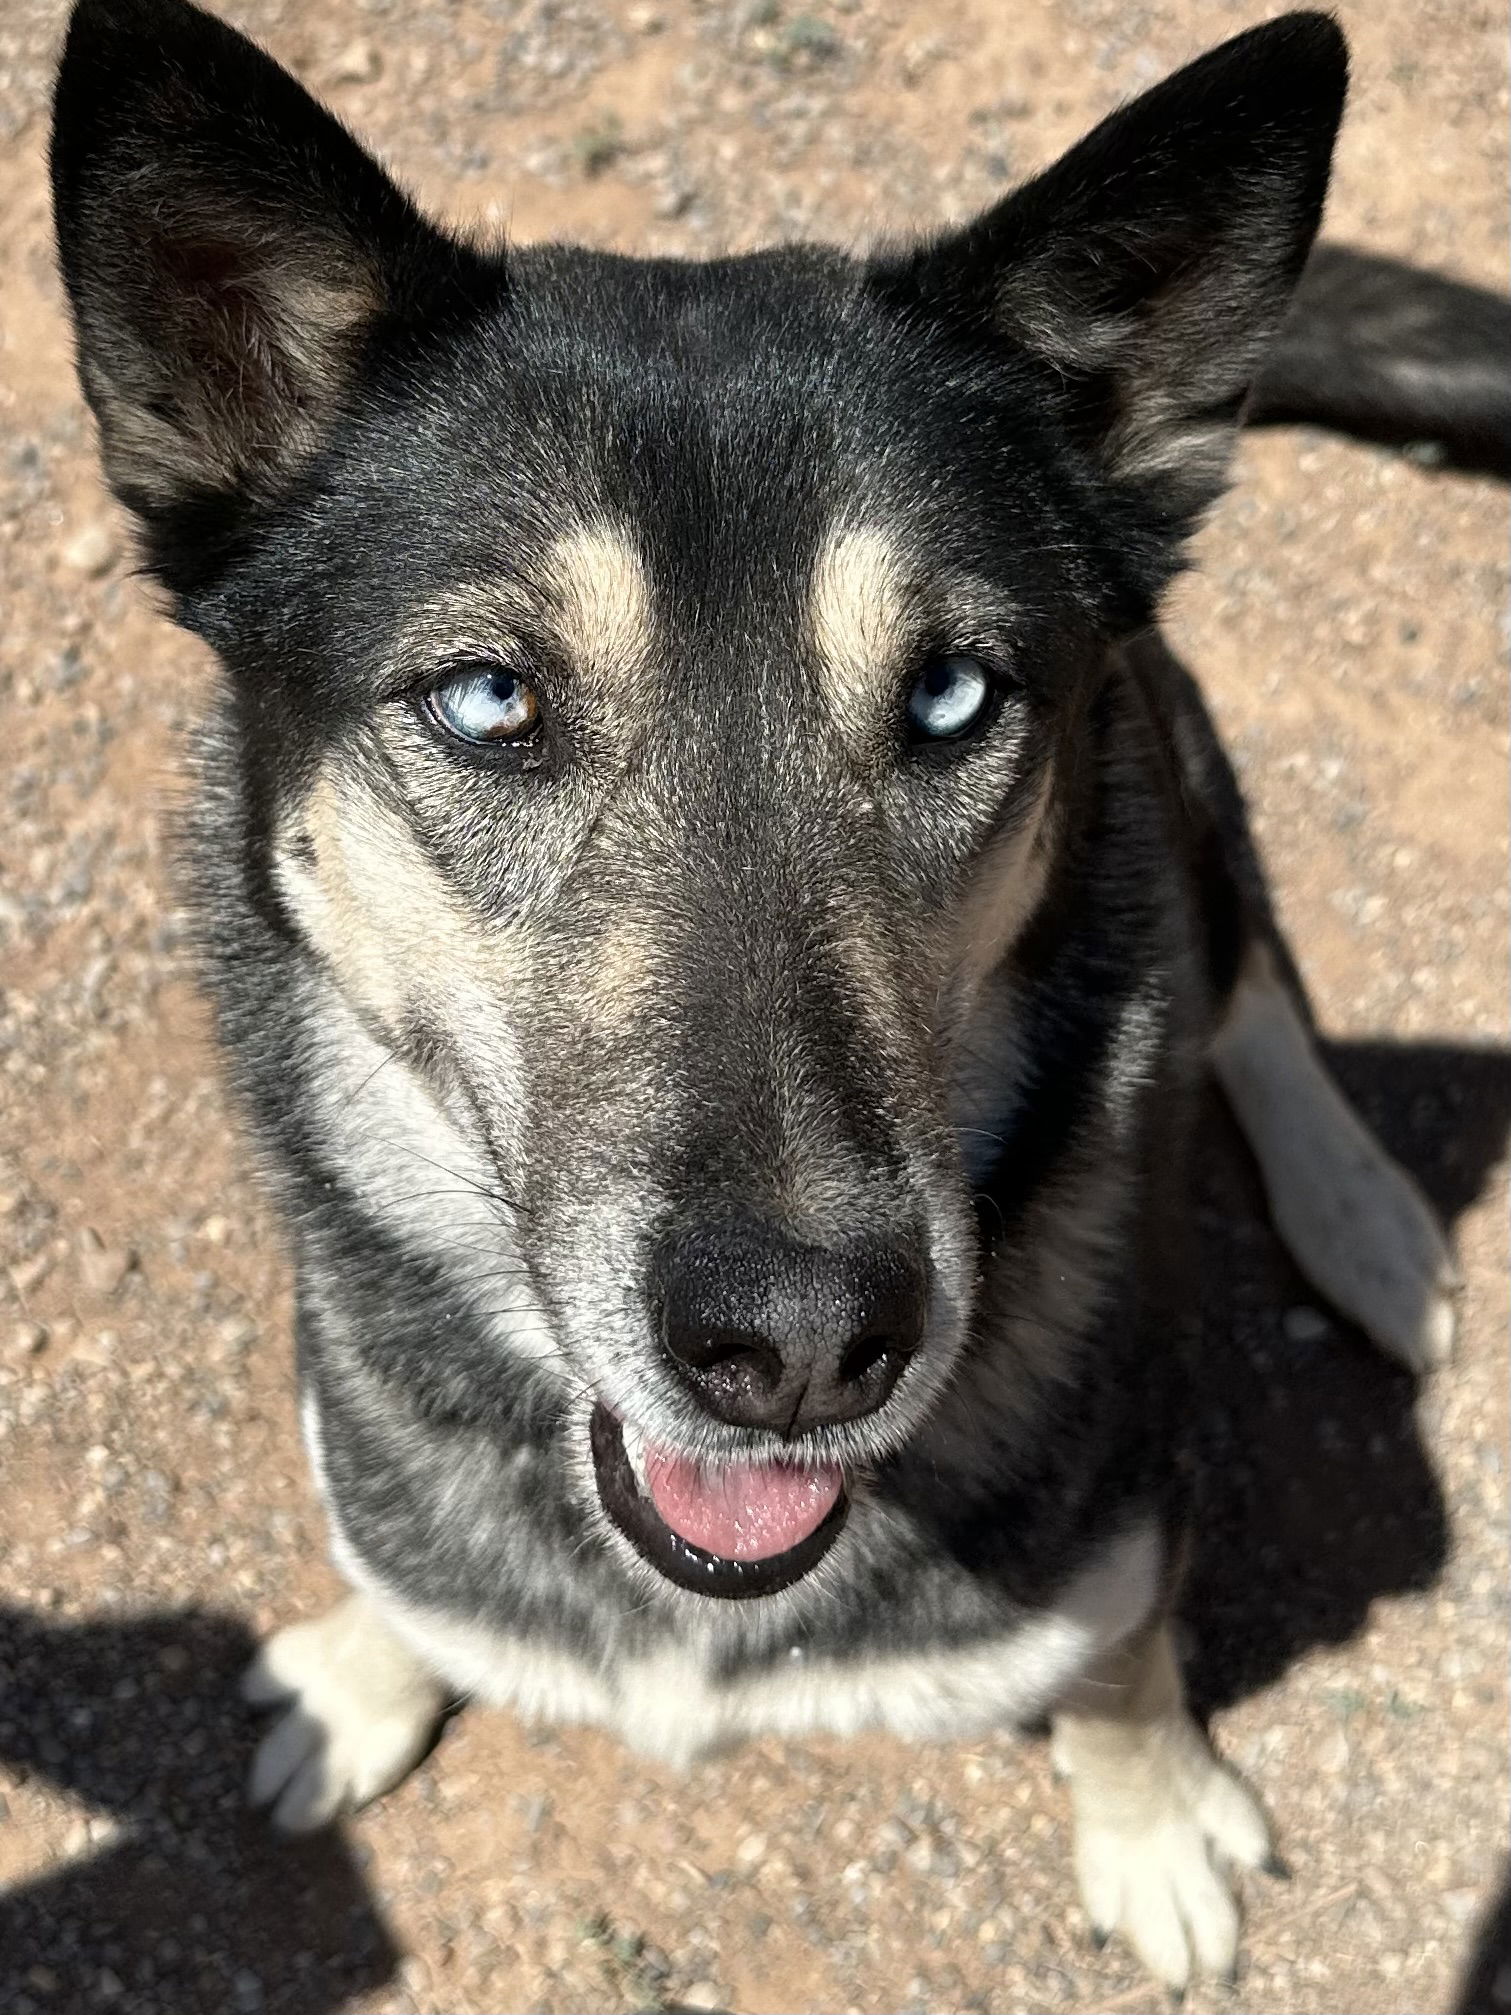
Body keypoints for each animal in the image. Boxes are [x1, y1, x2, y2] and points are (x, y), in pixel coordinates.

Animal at [47, 0, 1490, 1982]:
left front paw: (1148, 1817)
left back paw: (1366, 1221)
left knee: (1246, 966)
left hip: (1171, 753)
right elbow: (392, 1570)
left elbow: (1120, 1656)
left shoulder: (1127, 1498)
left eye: (951, 696)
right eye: (488, 700)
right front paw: (363, 1665)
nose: (799, 1341)